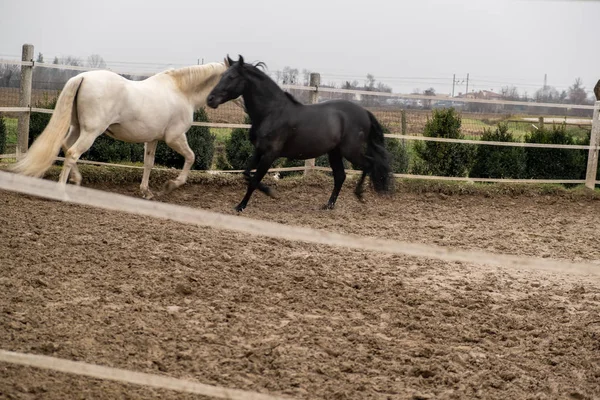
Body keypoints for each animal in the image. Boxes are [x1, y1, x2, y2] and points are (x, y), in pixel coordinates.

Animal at [11, 58, 236, 198]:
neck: (181, 91)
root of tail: (81, 77)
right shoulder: (175, 137)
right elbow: (191, 157)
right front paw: (171, 185)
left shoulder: (152, 139)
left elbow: (148, 164)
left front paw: (146, 192)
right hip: (91, 132)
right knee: (73, 153)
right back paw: (61, 191)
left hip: (76, 128)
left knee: (66, 147)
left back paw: (76, 180)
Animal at [207, 56, 394, 214]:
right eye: (222, 75)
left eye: (231, 77)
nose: (210, 99)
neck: (271, 112)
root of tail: (364, 112)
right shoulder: (259, 150)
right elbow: (246, 173)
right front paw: (262, 194)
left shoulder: (270, 154)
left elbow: (253, 180)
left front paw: (246, 203)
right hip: (334, 152)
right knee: (340, 176)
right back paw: (329, 205)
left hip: (350, 151)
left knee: (369, 164)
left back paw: (359, 194)